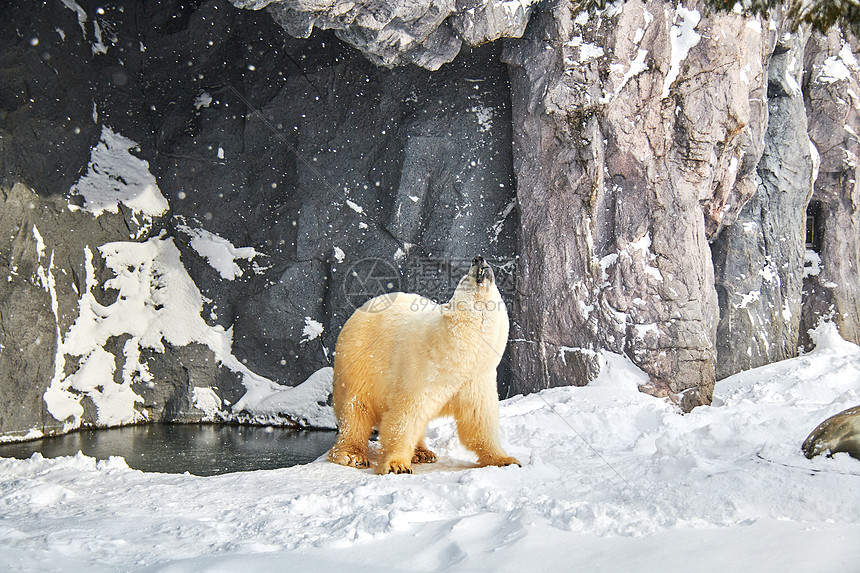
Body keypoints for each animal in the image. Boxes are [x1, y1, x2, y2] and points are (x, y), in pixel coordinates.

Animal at [328, 256, 516, 474]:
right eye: (463, 280)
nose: (478, 259)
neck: (456, 358)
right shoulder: (422, 370)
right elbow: (405, 415)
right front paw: (397, 465)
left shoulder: (476, 379)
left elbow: (479, 420)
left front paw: (506, 459)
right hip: (358, 362)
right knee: (356, 407)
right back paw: (352, 455)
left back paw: (422, 452)